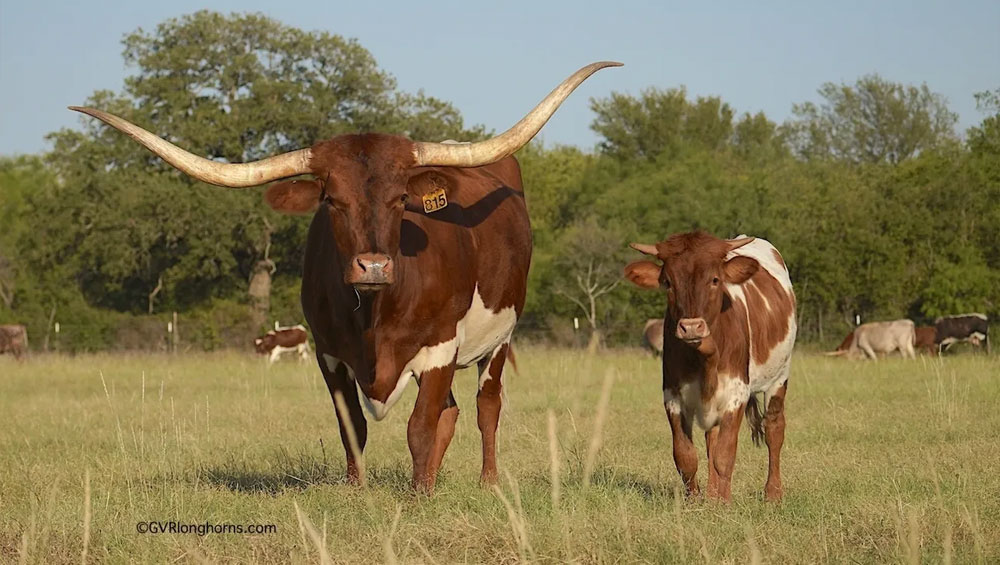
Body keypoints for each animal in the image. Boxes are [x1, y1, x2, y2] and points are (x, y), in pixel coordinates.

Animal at [76, 62, 624, 494]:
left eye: (401, 199)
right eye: (332, 201)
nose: (374, 266)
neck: (375, 316)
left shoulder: (441, 346)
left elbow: (420, 427)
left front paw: (417, 497)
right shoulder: (329, 352)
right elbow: (353, 426)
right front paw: (361, 490)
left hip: (500, 338)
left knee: (485, 407)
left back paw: (486, 482)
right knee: (450, 412)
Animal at [624, 231, 796, 500]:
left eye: (715, 280)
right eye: (668, 282)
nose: (692, 327)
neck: (705, 358)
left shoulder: (736, 393)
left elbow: (724, 456)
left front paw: (724, 503)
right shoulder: (672, 395)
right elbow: (685, 456)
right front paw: (697, 501)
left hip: (779, 377)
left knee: (774, 429)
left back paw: (773, 494)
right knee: (711, 438)